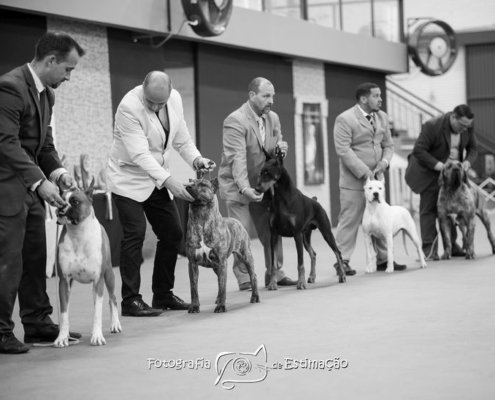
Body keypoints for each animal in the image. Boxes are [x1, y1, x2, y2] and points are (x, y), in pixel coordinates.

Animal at [185, 177, 260, 312]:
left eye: (202, 184)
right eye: (192, 181)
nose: (187, 186)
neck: (201, 218)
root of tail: (237, 221)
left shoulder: (221, 262)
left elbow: (222, 286)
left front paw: (221, 306)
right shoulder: (192, 263)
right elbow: (193, 288)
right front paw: (194, 306)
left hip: (245, 256)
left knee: (253, 276)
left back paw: (255, 297)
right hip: (216, 266)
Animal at [254, 152, 346, 288]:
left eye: (268, 173)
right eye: (260, 172)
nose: (256, 189)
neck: (281, 197)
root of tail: (315, 201)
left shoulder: (296, 234)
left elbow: (300, 262)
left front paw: (301, 283)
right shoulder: (274, 235)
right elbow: (273, 264)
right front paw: (272, 284)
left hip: (325, 232)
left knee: (337, 252)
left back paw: (342, 275)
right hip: (305, 237)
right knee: (313, 254)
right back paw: (312, 277)